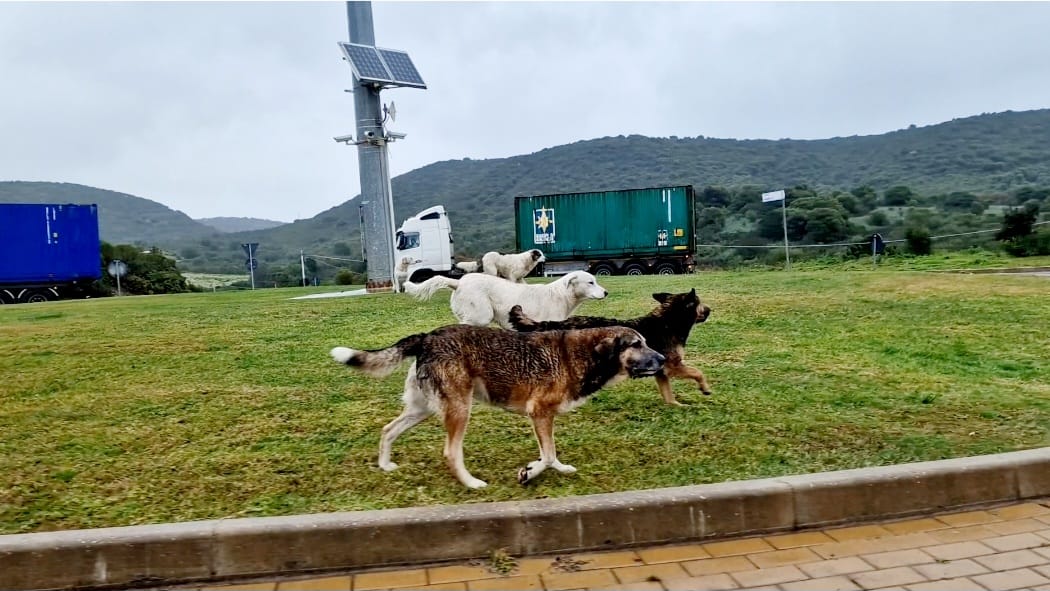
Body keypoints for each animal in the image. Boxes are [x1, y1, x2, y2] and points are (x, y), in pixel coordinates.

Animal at [329, 325, 663, 487]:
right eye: (636, 344)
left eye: (646, 342)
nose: (663, 359)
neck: (579, 355)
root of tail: (427, 337)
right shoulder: (539, 413)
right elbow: (547, 455)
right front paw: (529, 472)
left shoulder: (543, 418)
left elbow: (551, 454)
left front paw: (551, 469)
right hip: (459, 409)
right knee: (451, 453)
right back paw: (471, 483)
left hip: (421, 409)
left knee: (388, 430)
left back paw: (385, 465)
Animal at [510, 289, 713, 407]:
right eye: (700, 303)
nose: (710, 309)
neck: (669, 321)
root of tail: (553, 324)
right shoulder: (673, 366)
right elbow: (698, 372)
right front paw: (705, 389)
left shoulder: (662, 371)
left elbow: (668, 394)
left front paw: (676, 405)